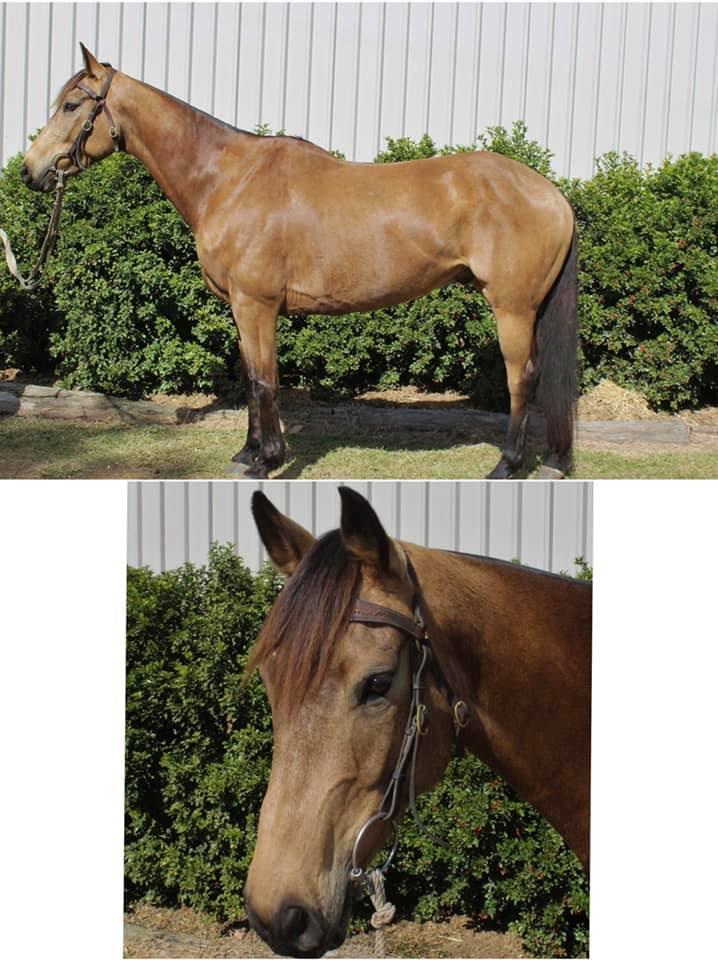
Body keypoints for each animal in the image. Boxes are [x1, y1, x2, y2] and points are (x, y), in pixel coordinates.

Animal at [22, 44, 578, 480]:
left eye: (71, 104)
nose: (31, 171)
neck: (228, 180)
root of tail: (552, 195)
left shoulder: (256, 305)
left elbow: (265, 381)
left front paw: (267, 460)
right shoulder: (241, 308)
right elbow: (252, 380)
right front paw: (247, 454)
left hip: (512, 308)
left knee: (523, 377)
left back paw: (508, 464)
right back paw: (551, 461)